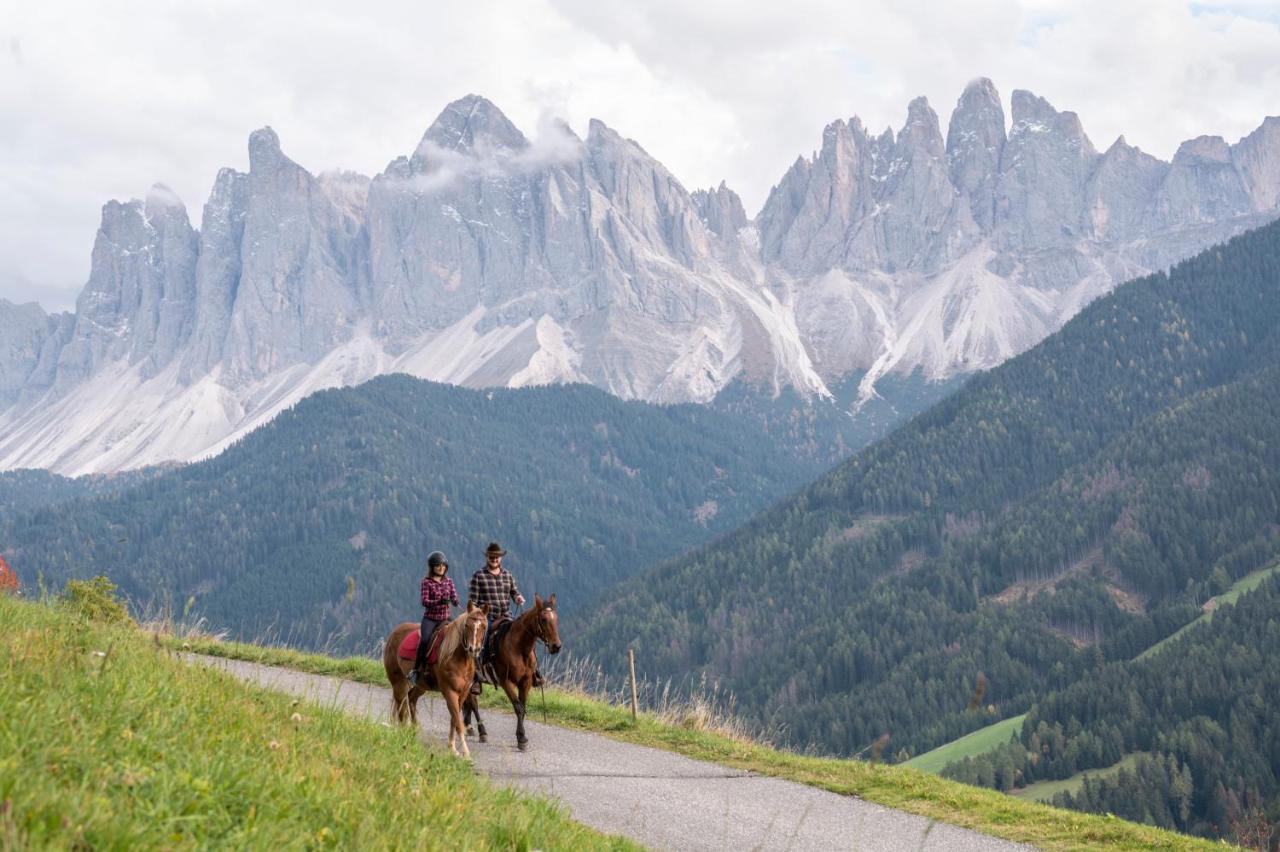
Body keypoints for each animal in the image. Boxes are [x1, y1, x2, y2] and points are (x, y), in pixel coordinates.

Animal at [381, 596, 486, 757]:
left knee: (410, 700)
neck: (456, 656)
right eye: (467, 625)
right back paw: (404, 734)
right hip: (399, 682)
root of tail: (394, 633)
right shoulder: (450, 692)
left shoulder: (462, 693)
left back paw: (413, 732)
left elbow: (454, 720)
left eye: (484, 627)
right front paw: (466, 753)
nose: (473, 649)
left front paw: (452, 748)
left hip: (420, 686)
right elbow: (458, 722)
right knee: (402, 709)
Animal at [463, 591, 558, 752]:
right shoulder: (506, 681)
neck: (519, 649)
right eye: (544, 619)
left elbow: (523, 706)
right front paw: (522, 738)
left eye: (556, 618)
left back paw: (468, 726)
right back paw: (481, 732)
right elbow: (518, 708)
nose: (556, 646)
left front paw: (520, 736)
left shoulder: (525, 682)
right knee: (473, 702)